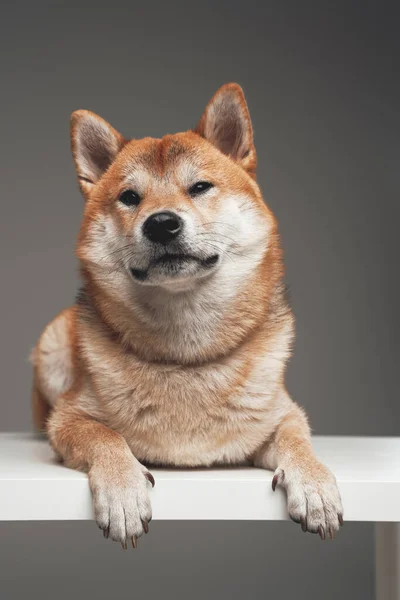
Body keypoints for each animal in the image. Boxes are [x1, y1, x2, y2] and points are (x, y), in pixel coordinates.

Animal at [31, 82, 344, 548]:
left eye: (199, 187)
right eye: (129, 197)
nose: (161, 223)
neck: (185, 356)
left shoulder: (283, 413)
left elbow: (300, 441)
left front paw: (316, 486)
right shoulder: (67, 419)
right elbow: (105, 435)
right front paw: (123, 492)